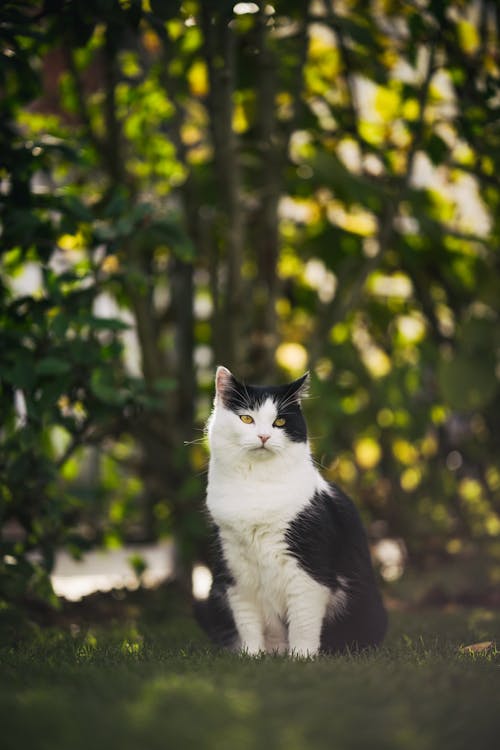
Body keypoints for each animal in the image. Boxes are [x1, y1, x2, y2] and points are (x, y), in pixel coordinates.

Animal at [194, 368, 386, 656]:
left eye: (280, 421)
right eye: (247, 418)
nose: (264, 436)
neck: (257, 485)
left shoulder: (307, 570)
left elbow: (303, 623)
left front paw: (301, 658)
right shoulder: (235, 569)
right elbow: (247, 622)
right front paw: (251, 656)